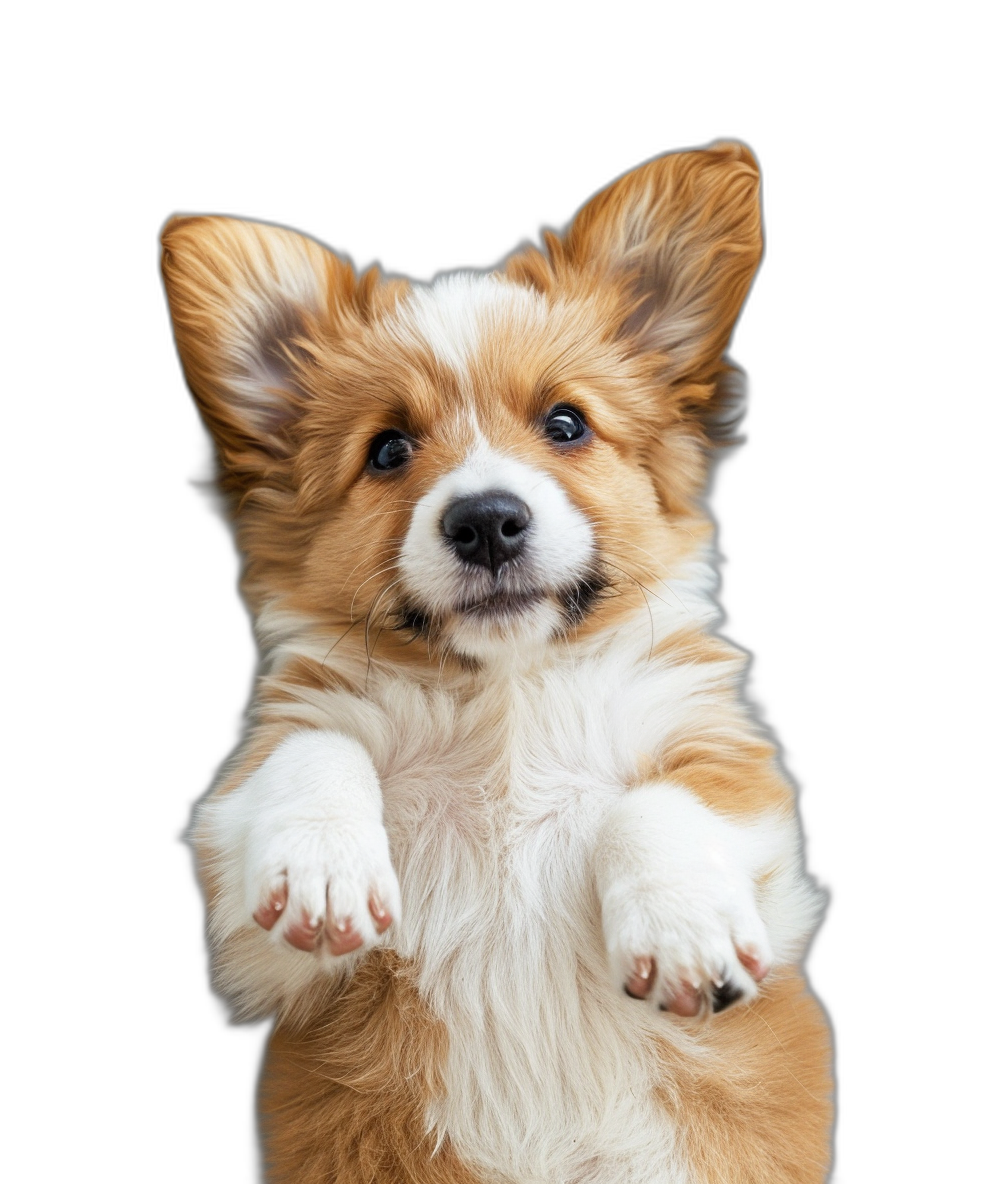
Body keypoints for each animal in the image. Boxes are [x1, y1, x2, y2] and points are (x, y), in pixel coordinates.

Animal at [159, 140, 833, 1184]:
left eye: (566, 425)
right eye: (388, 450)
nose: (484, 521)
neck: (507, 693)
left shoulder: (739, 785)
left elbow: (662, 803)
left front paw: (683, 930)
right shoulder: (248, 912)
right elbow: (312, 751)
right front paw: (325, 868)